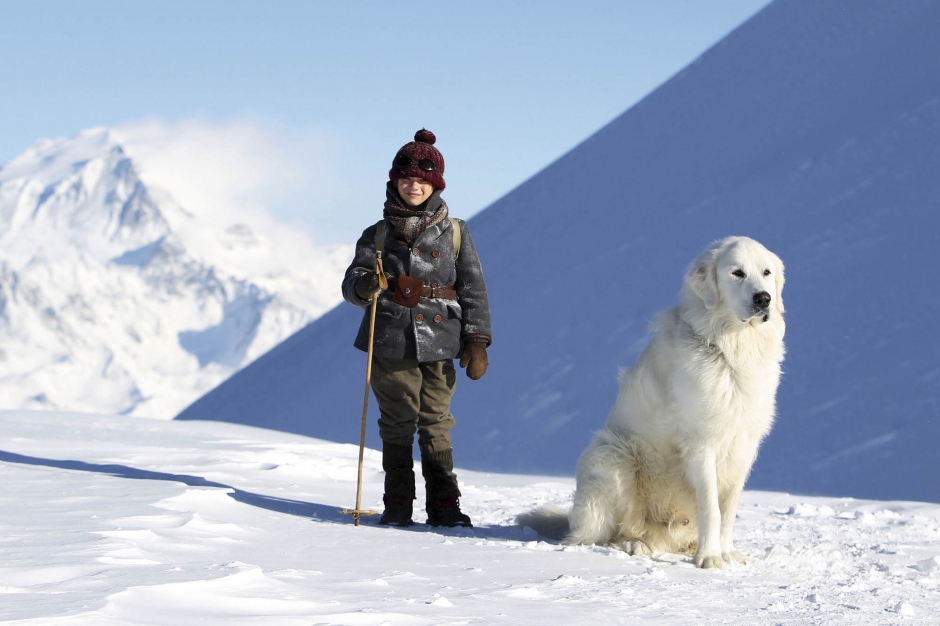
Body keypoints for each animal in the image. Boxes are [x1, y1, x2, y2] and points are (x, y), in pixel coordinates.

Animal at [520, 235, 784, 564]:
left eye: (766, 272)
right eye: (737, 273)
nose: (763, 299)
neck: (728, 347)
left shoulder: (743, 447)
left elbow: (729, 509)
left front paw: (727, 553)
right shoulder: (702, 444)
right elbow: (712, 507)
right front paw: (710, 558)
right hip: (613, 456)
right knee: (597, 537)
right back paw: (633, 545)